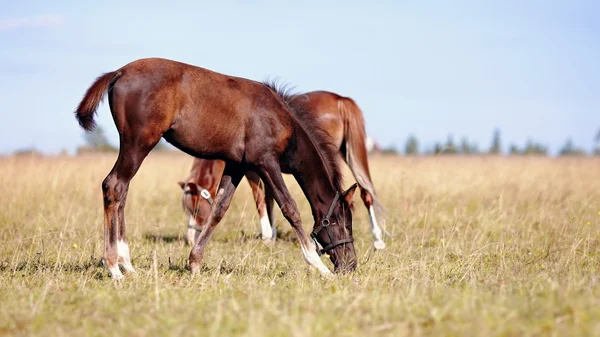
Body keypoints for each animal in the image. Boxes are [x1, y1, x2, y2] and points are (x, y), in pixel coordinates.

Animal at [73, 57, 358, 278]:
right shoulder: (266, 163)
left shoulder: (237, 165)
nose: (351, 265)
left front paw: (195, 263)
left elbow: (219, 209)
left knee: (122, 190)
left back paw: (127, 265)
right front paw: (319, 266)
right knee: (114, 185)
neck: (283, 121)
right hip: (139, 142)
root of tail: (119, 72)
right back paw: (114, 268)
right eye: (342, 223)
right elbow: (290, 208)